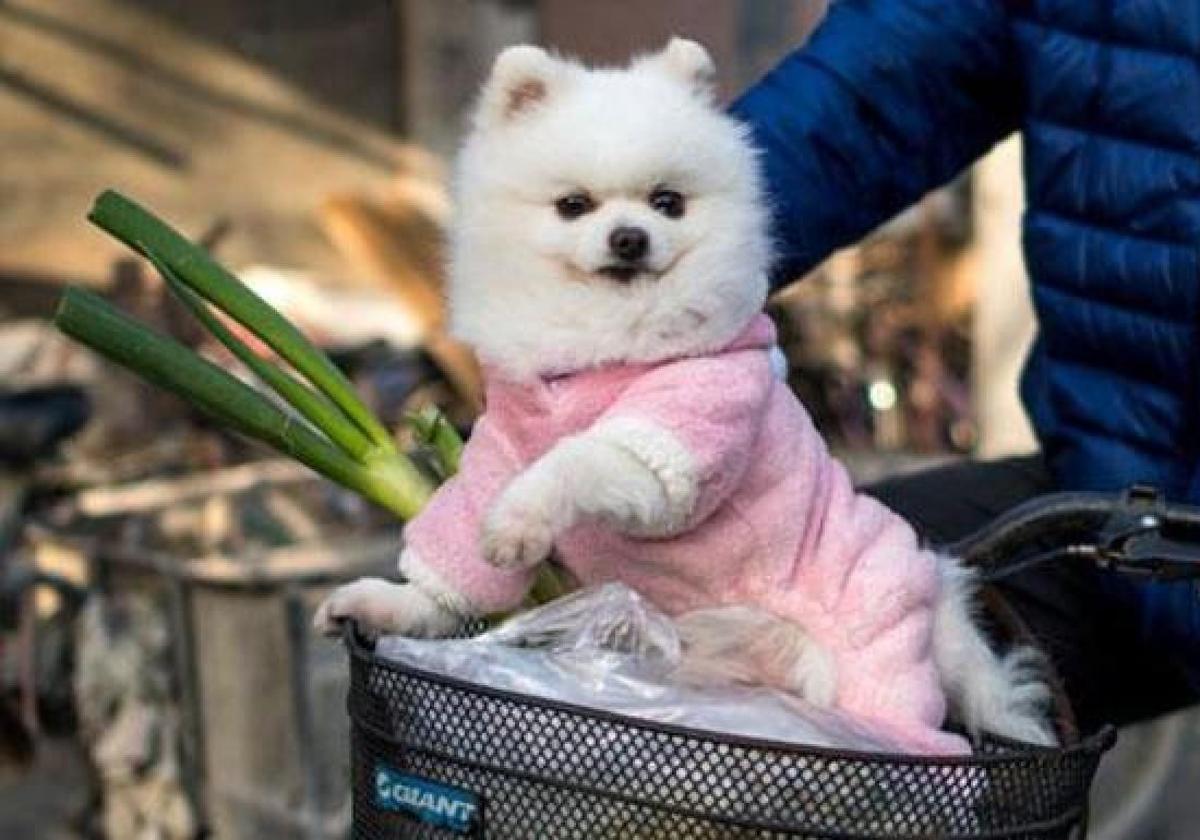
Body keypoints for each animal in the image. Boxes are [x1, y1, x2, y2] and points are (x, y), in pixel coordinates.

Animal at [314, 37, 1056, 748]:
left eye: (667, 202)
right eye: (573, 205)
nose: (629, 237)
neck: (602, 343)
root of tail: (942, 613)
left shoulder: (676, 440)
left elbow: (574, 461)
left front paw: (521, 520)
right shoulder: (496, 453)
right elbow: (458, 559)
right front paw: (394, 603)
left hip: (871, 656)